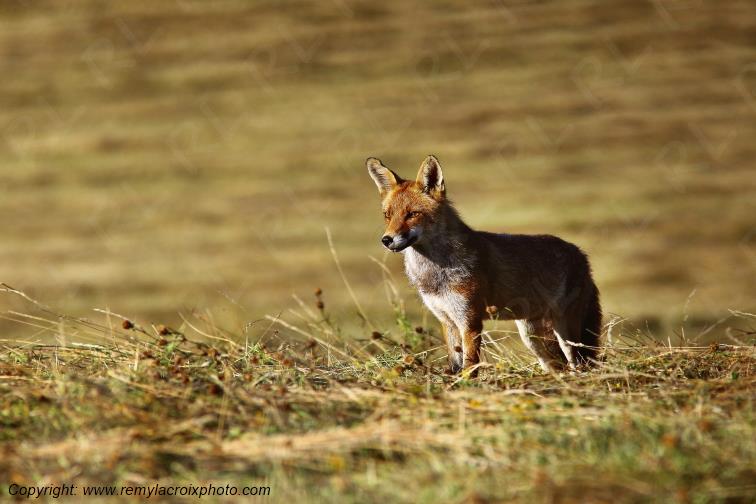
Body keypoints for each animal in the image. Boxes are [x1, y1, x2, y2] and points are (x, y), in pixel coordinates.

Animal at [367, 155, 602, 375]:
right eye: (387, 215)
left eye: (412, 214)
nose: (386, 240)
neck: (436, 274)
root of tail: (581, 254)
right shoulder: (447, 321)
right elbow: (455, 364)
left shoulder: (469, 321)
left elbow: (470, 366)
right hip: (532, 337)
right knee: (557, 366)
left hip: (567, 334)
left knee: (579, 362)